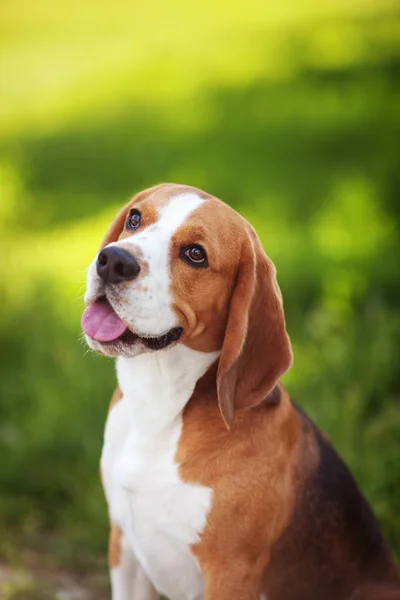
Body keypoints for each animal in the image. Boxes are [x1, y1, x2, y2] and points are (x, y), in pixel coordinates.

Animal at [80, 183, 396, 600]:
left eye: (195, 254)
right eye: (135, 218)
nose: (113, 261)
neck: (160, 408)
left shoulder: (230, 573)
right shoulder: (124, 547)